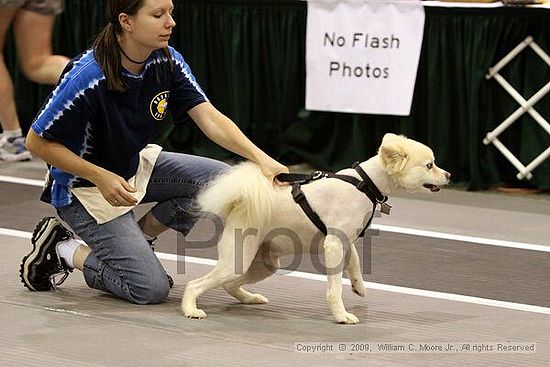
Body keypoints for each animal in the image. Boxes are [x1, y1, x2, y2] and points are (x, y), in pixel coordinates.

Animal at [183, 134, 450, 324]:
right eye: (430, 165)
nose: (448, 175)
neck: (364, 184)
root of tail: (239, 204)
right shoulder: (333, 245)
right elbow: (335, 288)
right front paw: (342, 316)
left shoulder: (345, 241)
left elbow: (355, 261)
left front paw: (359, 286)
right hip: (236, 261)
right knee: (195, 285)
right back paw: (191, 309)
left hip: (263, 265)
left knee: (229, 284)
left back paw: (251, 298)